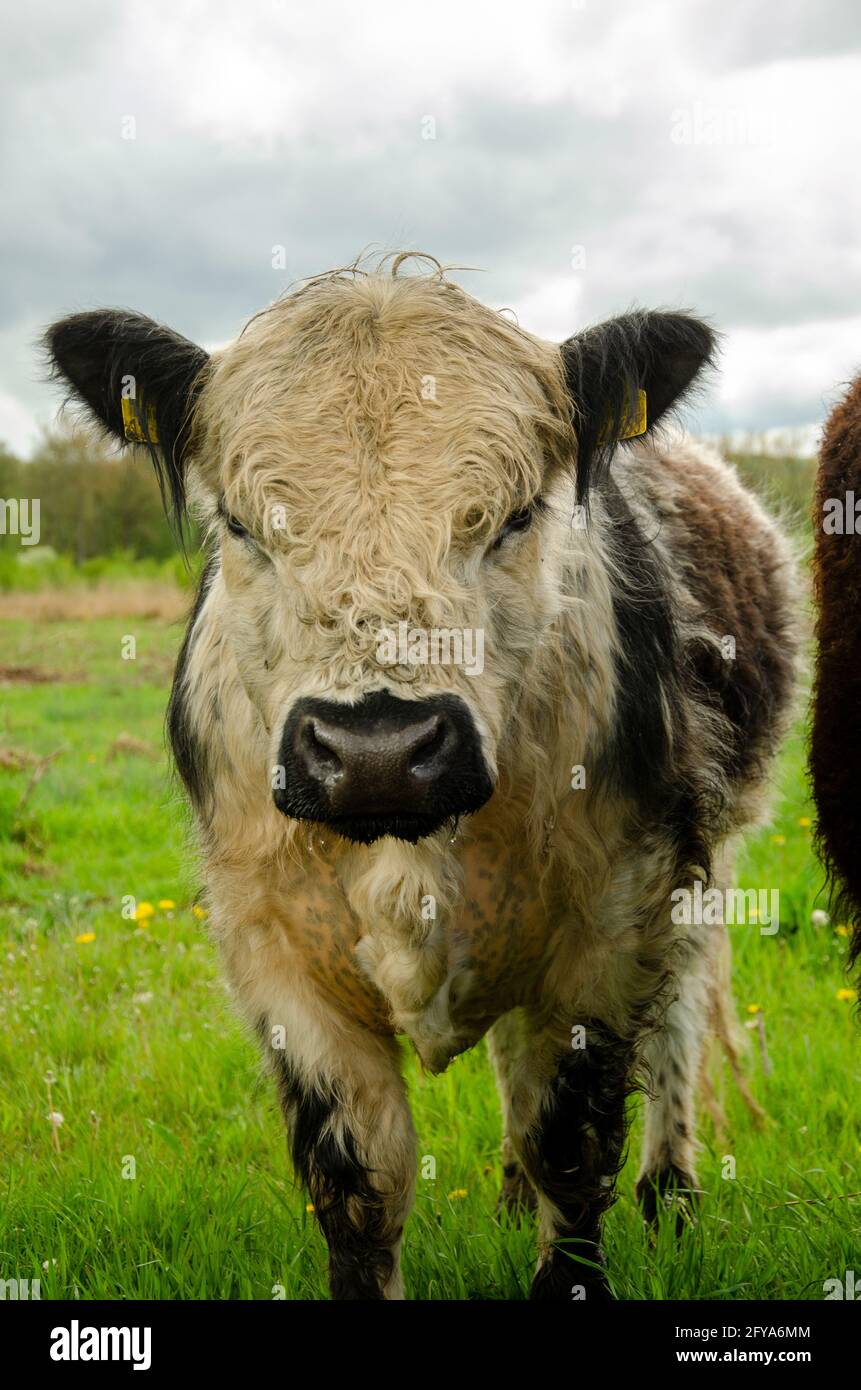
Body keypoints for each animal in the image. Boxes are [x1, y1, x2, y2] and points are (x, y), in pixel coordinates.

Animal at [45, 258, 801, 1301]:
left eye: (518, 515)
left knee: (679, 1022)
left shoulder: (613, 923)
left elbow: (570, 1140)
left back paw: (671, 1194)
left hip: (705, 866)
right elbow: (361, 1176)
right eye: (239, 525)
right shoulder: (272, 948)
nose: (376, 750)